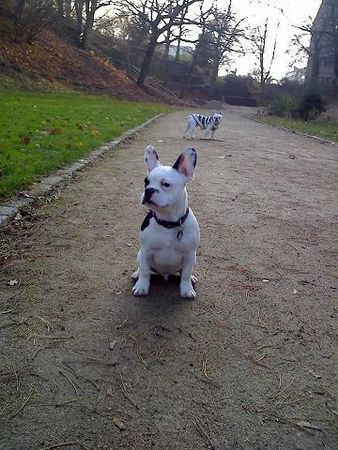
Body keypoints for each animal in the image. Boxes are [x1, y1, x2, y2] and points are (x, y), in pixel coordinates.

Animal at [132, 145, 199, 298]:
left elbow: (185, 274)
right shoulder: (146, 251)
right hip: (139, 254)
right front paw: (141, 286)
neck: (168, 222)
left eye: (166, 184)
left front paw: (186, 289)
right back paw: (136, 275)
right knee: (141, 267)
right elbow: (145, 271)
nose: (149, 190)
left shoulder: (189, 255)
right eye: (146, 182)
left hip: (194, 258)